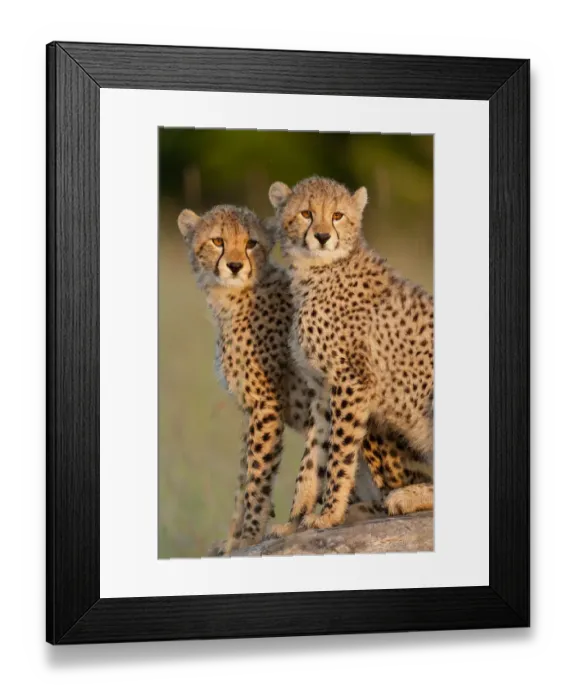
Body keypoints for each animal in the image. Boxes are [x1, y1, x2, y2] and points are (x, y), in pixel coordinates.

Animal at [177, 204, 427, 553]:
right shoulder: (249, 411)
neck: (231, 300)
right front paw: (232, 541)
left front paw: (248, 536)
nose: (235, 266)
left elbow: (257, 478)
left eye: (251, 243)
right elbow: (243, 478)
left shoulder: (265, 407)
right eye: (217, 241)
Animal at [268, 176, 435, 531]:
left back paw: (403, 496)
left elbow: (340, 456)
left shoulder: (351, 383)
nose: (322, 236)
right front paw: (294, 520)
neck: (315, 271)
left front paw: (329, 514)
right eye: (306, 213)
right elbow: (312, 458)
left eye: (338, 216)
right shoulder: (323, 390)